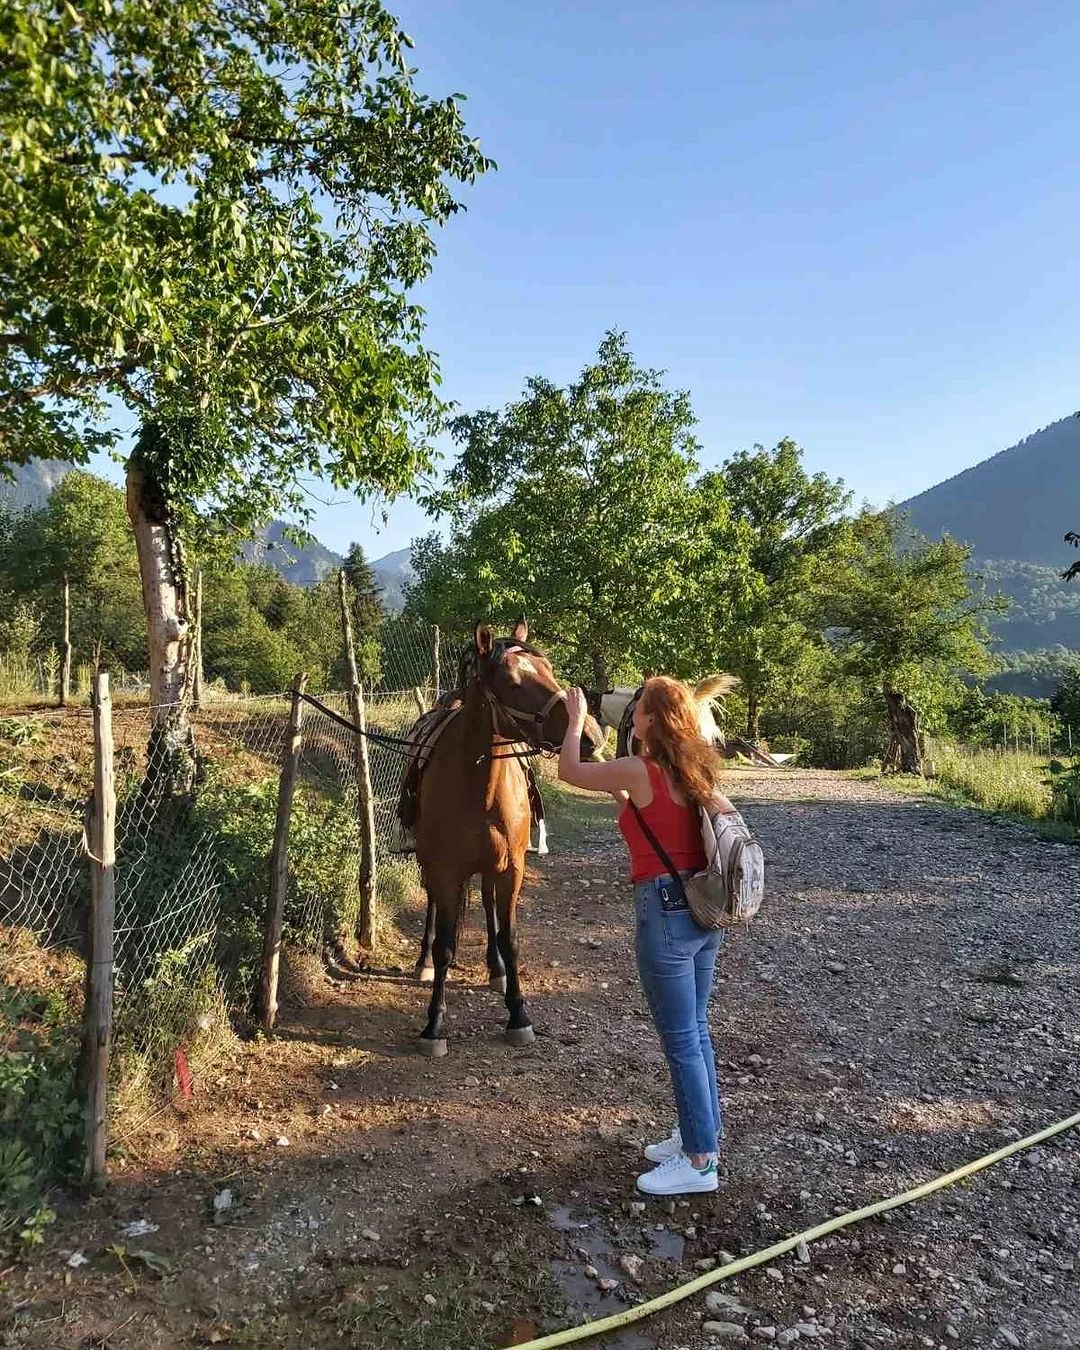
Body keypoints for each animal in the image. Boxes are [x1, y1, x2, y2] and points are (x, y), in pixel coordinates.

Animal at [413, 618, 602, 1053]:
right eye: (514, 684)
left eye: (549, 669)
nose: (589, 736)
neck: (477, 786)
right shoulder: (445, 870)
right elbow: (445, 944)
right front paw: (434, 1023)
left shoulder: (512, 868)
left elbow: (510, 937)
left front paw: (518, 1014)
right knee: (434, 909)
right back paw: (424, 963)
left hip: (491, 868)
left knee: (488, 907)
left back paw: (495, 968)